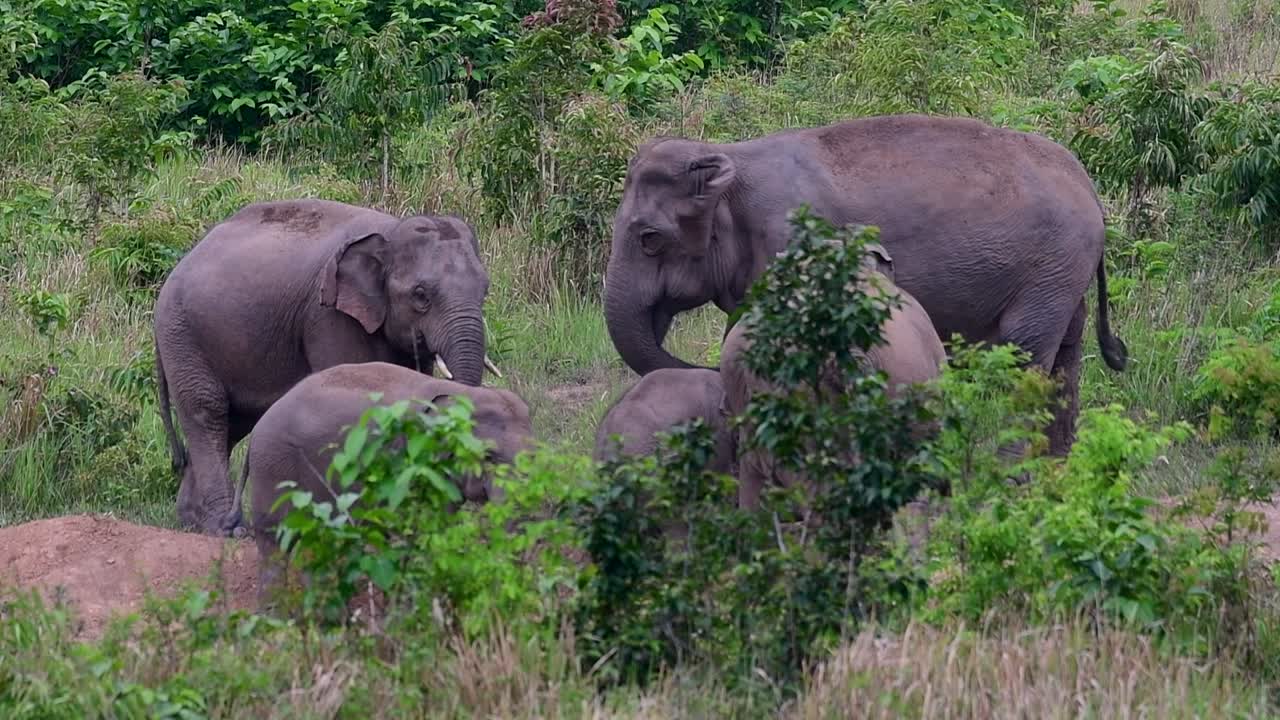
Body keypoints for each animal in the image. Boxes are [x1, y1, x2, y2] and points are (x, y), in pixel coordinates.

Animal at [154, 199, 501, 535]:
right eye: (420, 295)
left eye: (485, 289)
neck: (391, 229)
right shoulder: (328, 315)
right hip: (182, 335)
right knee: (207, 412)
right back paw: (224, 530)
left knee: (236, 422)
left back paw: (195, 522)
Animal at [225, 361, 534, 608]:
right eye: (489, 456)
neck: (463, 393)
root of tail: (256, 432)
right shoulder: (407, 461)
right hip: (275, 469)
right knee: (275, 542)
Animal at [604, 113, 1127, 458]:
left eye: (650, 239)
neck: (731, 157)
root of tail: (1088, 184)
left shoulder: (788, 241)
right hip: (1063, 273)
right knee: (1066, 355)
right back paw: (1055, 467)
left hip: (1049, 268)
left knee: (1025, 356)